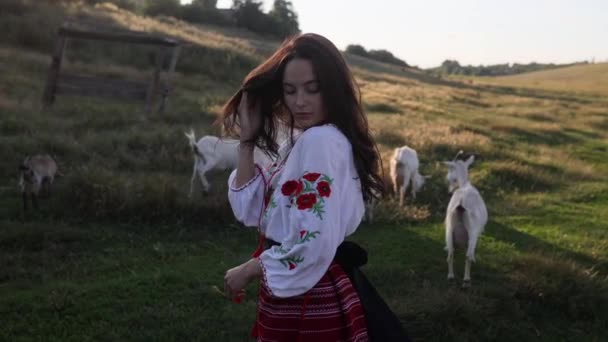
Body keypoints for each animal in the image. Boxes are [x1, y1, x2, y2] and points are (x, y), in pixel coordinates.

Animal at [444, 154, 486, 288]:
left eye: (452, 178)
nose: (449, 191)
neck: (465, 185)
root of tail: (460, 205)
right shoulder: (477, 232)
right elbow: (470, 254)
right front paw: (474, 258)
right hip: (472, 232)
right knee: (467, 256)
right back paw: (466, 280)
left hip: (449, 230)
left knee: (450, 254)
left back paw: (451, 277)